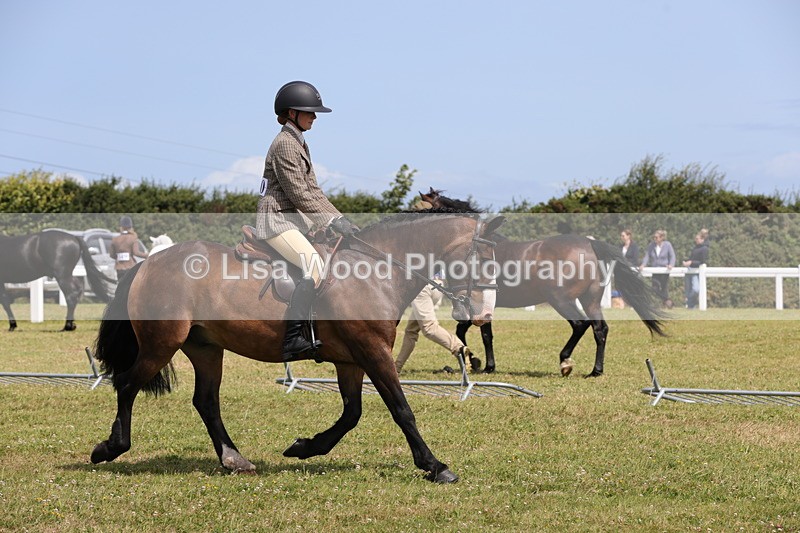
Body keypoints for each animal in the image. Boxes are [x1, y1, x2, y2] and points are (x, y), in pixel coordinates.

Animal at [90, 211, 505, 483]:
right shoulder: (373, 352)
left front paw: (304, 447)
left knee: (205, 401)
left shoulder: (352, 361)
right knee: (127, 384)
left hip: (205, 348)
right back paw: (110, 448)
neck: (376, 271)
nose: (483, 314)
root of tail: (148, 263)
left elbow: (352, 414)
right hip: (162, 342)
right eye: (484, 259)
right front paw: (435, 466)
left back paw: (234, 459)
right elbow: (402, 410)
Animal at [421, 189, 667, 377]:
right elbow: (473, 332)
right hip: (590, 299)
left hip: (561, 300)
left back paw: (565, 362)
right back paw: (595, 371)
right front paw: (480, 362)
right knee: (600, 329)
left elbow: (477, 333)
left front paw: (481, 363)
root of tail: (589, 244)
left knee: (580, 324)